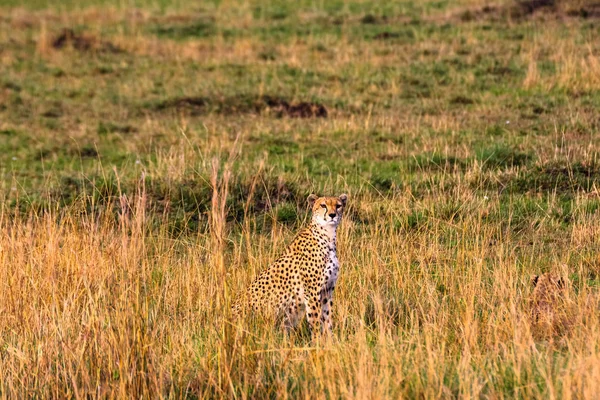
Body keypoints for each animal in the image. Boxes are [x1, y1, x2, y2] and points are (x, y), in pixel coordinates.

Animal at [232, 192, 350, 336]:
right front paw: (317, 340)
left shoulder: (327, 291)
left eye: (338, 206)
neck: (328, 235)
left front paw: (330, 340)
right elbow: (315, 321)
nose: (332, 215)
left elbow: (327, 319)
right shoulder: (312, 293)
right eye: (323, 205)